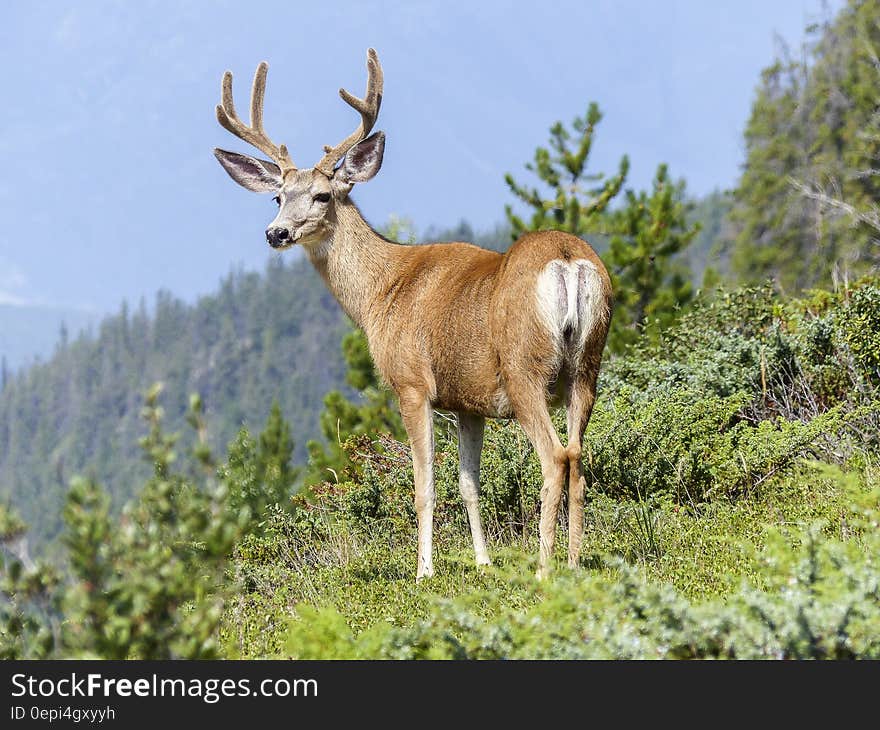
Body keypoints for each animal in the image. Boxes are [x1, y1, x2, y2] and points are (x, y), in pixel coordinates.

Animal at [213, 48, 612, 576]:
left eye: (322, 195)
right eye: (278, 196)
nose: (275, 233)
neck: (381, 293)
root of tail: (568, 262)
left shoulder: (411, 382)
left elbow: (425, 486)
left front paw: (425, 570)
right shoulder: (468, 401)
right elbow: (469, 484)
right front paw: (483, 563)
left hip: (525, 367)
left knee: (556, 458)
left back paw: (545, 568)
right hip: (586, 365)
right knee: (579, 457)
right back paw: (573, 563)